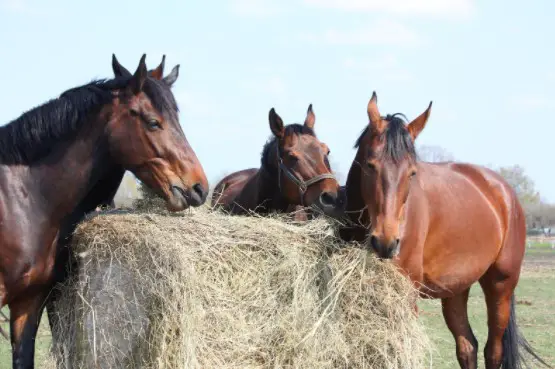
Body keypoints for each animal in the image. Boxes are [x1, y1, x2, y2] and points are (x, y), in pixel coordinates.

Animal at [338, 92, 552, 368]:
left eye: (412, 173)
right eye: (370, 165)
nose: (386, 242)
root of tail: (504, 191)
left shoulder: (407, 297)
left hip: (500, 286)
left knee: (493, 350)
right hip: (456, 289)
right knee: (467, 346)